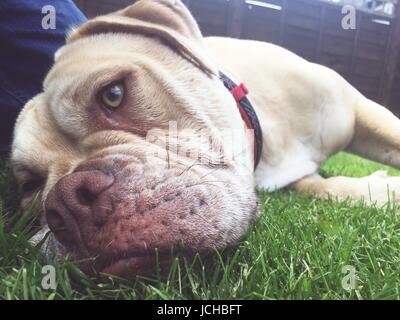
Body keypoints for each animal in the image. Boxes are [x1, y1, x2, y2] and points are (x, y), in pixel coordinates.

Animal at [9, 0, 400, 276]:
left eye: (113, 94)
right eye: (30, 187)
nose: (66, 204)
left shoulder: (360, 109)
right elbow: (325, 187)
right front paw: (380, 189)